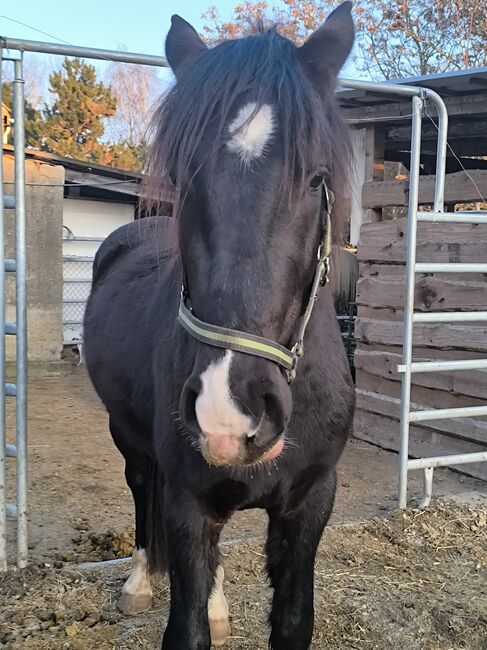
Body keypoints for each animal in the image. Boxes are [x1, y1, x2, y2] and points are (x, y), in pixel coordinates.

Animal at [84, 3, 356, 648]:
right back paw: (139, 583)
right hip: (126, 435)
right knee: (141, 487)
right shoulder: (187, 503)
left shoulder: (311, 503)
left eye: (316, 179)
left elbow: (292, 621)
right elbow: (185, 627)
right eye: (186, 176)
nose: (228, 411)